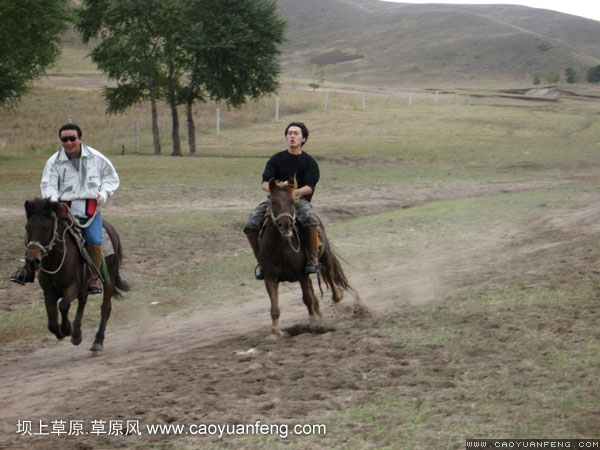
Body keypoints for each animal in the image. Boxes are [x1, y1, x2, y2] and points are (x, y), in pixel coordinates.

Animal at [23, 198, 129, 352]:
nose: (33, 261)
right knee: (83, 301)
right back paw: (77, 334)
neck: (55, 260)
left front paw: (67, 329)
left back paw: (97, 341)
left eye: (46, 228)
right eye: (27, 227)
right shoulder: (48, 292)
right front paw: (62, 332)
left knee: (105, 308)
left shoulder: (73, 287)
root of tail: (112, 230)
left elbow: (64, 305)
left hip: (109, 277)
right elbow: (52, 323)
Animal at [256, 177, 352, 338]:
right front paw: (275, 333)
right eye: (273, 202)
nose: (285, 225)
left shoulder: (302, 274)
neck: (280, 247)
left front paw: (313, 324)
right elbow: (275, 307)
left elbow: (307, 300)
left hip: (324, 256)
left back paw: (337, 297)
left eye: (292, 202)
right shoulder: (270, 276)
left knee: (329, 273)